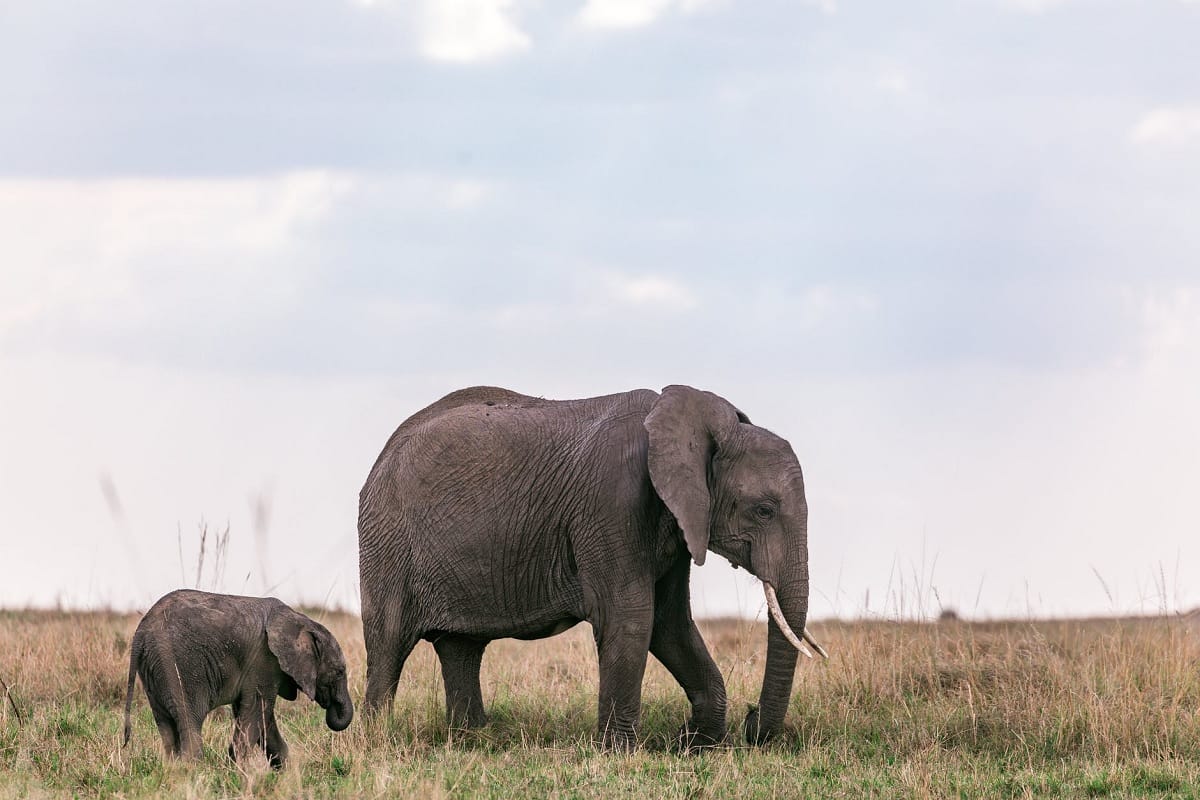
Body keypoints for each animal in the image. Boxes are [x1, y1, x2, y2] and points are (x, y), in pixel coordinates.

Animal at [122, 589, 353, 767]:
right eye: (340, 671)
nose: (331, 709)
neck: (299, 619)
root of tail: (140, 632)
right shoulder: (265, 661)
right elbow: (257, 710)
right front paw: (238, 770)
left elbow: (261, 717)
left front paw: (287, 772)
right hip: (178, 665)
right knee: (189, 719)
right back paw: (193, 770)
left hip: (153, 670)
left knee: (165, 725)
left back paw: (174, 770)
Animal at [357, 385, 826, 749]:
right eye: (764, 511)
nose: (751, 719)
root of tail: (382, 453)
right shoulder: (612, 504)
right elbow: (632, 617)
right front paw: (622, 753)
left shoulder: (678, 521)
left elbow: (670, 623)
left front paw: (693, 744)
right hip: (387, 539)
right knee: (388, 642)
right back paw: (377, 741)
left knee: (461, 648)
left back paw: (472, 740)